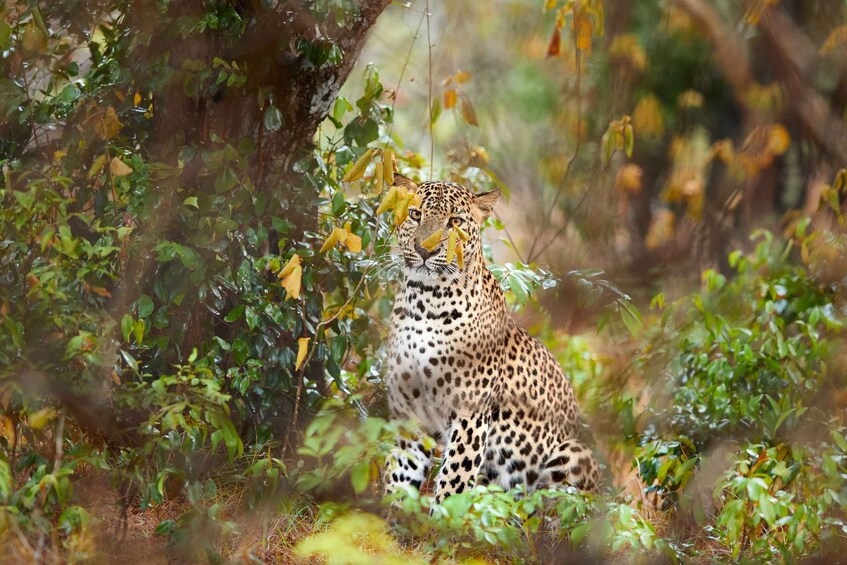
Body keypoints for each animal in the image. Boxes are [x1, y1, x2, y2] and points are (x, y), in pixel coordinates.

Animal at [384, 176, 604, 502]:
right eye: (415, 214)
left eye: (455, 222)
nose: (424, 250)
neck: (424, 302)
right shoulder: (409, 411)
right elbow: (399, 474)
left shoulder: (470, 414)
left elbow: (453, 483)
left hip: (574, 454)